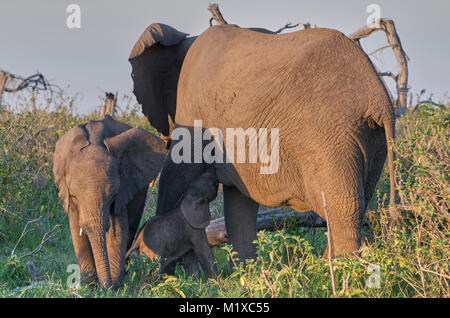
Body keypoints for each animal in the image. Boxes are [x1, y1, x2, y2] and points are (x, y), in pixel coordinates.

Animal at [129, 23, 398, 264]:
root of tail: (377, 96)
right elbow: (238, 204)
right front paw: (243, 273)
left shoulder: (191, 106)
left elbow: (175, 174)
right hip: (371, 139)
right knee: (354, 204)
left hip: (331, 138)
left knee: (341, 209)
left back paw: (334, 269)